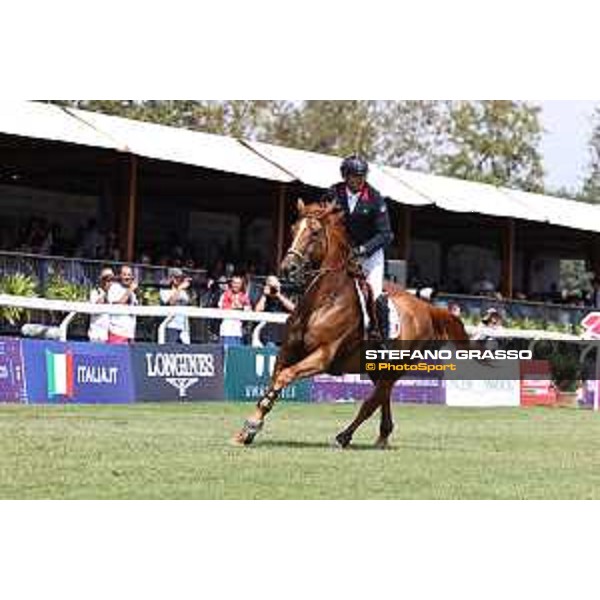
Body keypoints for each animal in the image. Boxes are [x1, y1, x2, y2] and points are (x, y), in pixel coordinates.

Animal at [234, 199, 468, 448]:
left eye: (315, 233)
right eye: (293, 229)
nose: (288, 268)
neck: (323, 301)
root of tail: (426, 308)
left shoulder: (323, 356)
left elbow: (284, 376)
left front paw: (252, 425)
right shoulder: (287, 351)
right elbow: (274, 380)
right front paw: (248, 429)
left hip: (396, 367)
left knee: (373, 401)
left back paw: (344, 436)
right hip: (377, 367)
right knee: (382, 397)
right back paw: (382, 436)